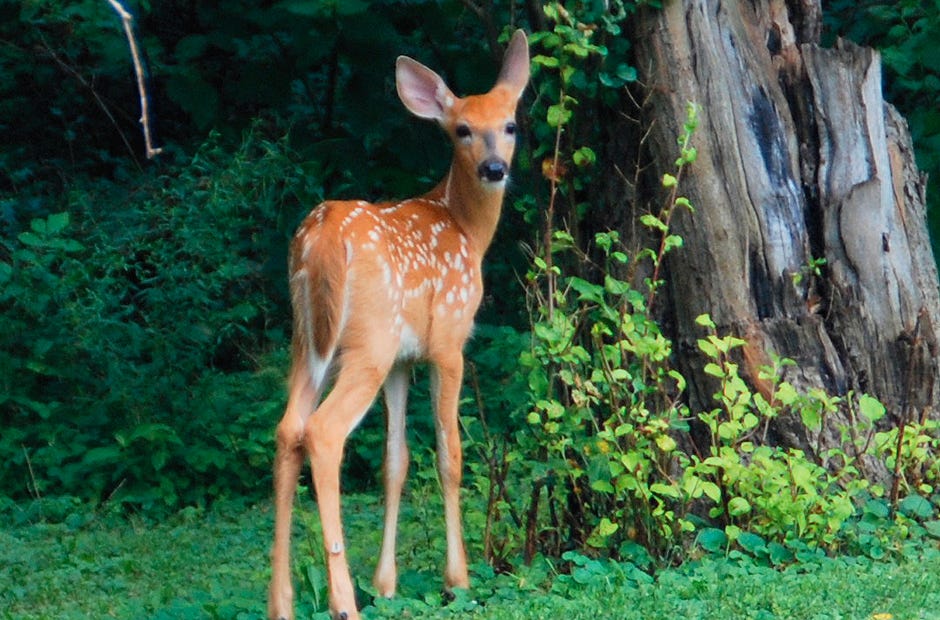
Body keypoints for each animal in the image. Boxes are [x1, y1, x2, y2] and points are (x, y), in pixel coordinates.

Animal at [268, 30, 530, 620]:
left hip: (309, 341)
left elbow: (396, 461)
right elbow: (450, 453)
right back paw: (343, 601)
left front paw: (386, 583)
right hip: (369, 341)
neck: (466, 230)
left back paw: (282, 602)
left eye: (509, 125)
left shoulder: (403, 362)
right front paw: (458, 579)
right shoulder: (449, 342)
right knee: (323, 432)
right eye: (461, 129)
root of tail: (322, 237)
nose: (495, 168)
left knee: (288, 429)